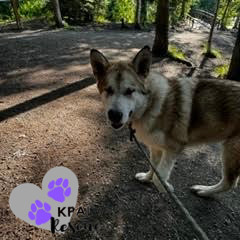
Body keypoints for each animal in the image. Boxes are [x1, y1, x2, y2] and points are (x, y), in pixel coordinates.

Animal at [89, 45, 240, 197]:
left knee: (229, 183)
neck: (151, 105)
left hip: (230, 152)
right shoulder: (155, 146)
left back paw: (204, 190)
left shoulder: (173, 148)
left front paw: (166, 187)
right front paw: (147, 178)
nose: (114, 115)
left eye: (130, 91)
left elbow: (159, 177)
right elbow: (153, 167)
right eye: (108, 90)